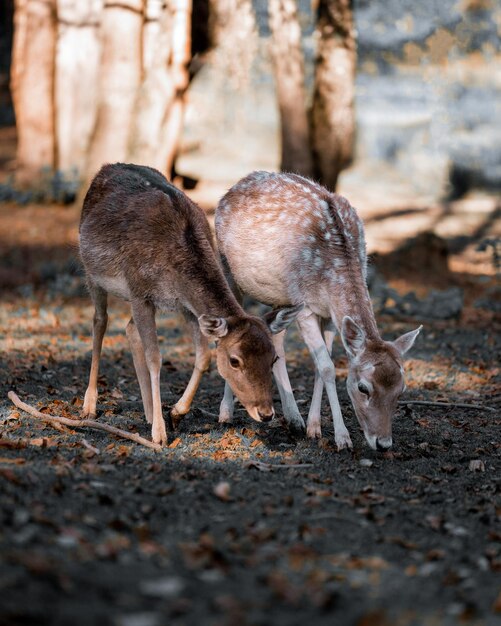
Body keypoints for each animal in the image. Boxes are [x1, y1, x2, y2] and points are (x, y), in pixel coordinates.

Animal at [76, 162, 298, 444]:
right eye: (235, 361)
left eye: (273, 358)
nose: (267, 413)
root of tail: (105, 168)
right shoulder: (139, 292)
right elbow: (155, 358)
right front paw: (160, 435)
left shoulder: (186, 305)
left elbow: (203, 356)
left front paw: (175, 413)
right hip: (91, 272)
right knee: (100, 322)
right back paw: (89, 406)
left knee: (129, 329)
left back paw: (149, 412)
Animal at [215, 169, 422, 448]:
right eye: (363, 387)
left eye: (401, 389)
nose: (383, 443)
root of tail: (235, 186)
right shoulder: (306, 307)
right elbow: (327, 367)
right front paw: (342, 438)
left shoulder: (331, 314)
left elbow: (320, 365)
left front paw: (314, 428)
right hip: (228, 268)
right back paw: (225, 413)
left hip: (282, 295)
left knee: (276, 339)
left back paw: (293, 418)